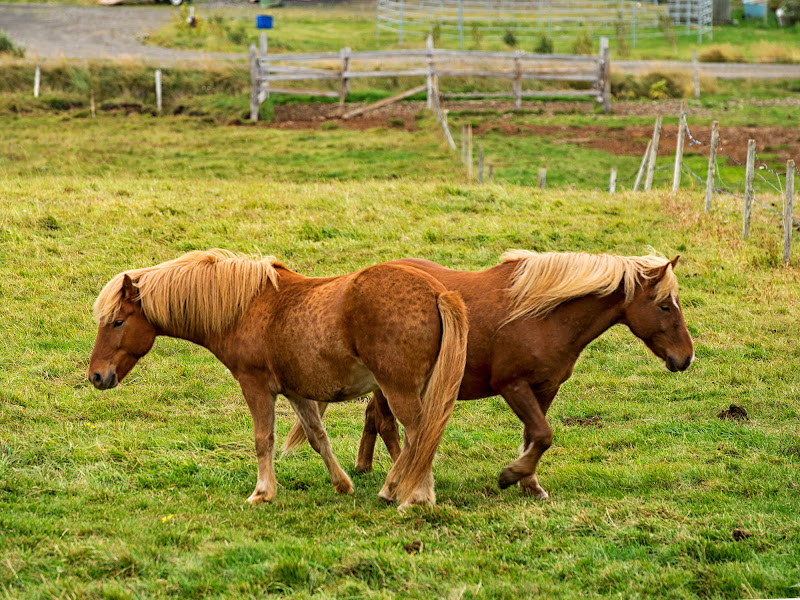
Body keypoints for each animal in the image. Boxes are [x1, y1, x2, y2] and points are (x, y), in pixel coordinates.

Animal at [86, 251, 468, 508]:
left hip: (398, 390)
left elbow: (263, 439)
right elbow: (317, 437)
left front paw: (262, 492)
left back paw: (411, 495)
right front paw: (342, 484)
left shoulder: (256, 386)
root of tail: (437, 293)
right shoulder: (296, 391)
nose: (96, 376)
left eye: (117, 322)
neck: (244, 307)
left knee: (420, 435)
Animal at [286, 251, 692, 500]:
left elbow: (534, 436)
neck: (543, 315)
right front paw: (511, 476)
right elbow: (543, 434)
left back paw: (367, 466)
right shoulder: (513, 386)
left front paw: (530, 484)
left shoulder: (545, 388)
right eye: (664, 305)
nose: (685, 358)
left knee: (376, 416)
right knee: (389, 423)